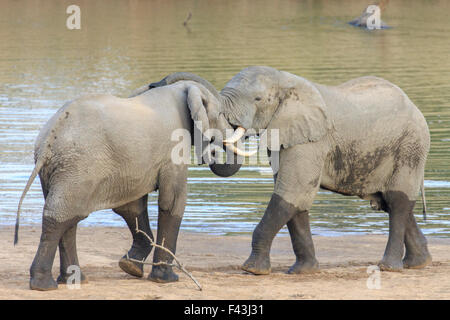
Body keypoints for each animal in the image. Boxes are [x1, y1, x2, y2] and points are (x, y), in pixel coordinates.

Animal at [14, 74, 246, 290]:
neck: (180, 89)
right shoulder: (173, 149)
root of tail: (51, 134)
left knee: (67, 216)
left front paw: (130, 268)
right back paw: (44, 285)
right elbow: (172, 202)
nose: (214, 150)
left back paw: (74, 279)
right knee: (60, 215)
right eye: (221, 114)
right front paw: (166, 280)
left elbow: (131, 206)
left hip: (57, 169)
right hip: (77, 166)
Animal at [149, 65, 432, 276]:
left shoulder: (311, 140)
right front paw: (303, 271)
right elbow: (294, 199)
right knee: (389, 202)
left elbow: (292, 191)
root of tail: (415, 108)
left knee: (397, 201)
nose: (154, 84)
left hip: (410, 145)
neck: (286, 81)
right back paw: (419, 263)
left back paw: (389, 267)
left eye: (258, 99)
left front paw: (252, 270)